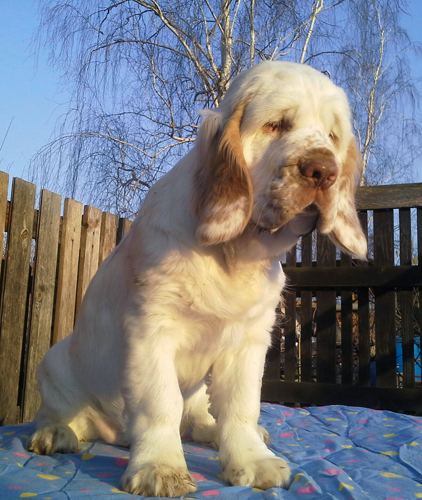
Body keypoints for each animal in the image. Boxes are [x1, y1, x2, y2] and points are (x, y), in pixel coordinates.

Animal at [28, 61, 368, 496]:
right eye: (276, 124)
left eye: (332, 136)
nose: (324, 171)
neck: (235, 254)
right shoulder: (151, 331)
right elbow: (161, 404)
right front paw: (159, 467)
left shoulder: (249, 340)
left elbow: (240, 406)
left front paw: (251, 461)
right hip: (54, 363)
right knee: (56, 413)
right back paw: (55, 434)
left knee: (201, 414)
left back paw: (216, 432)